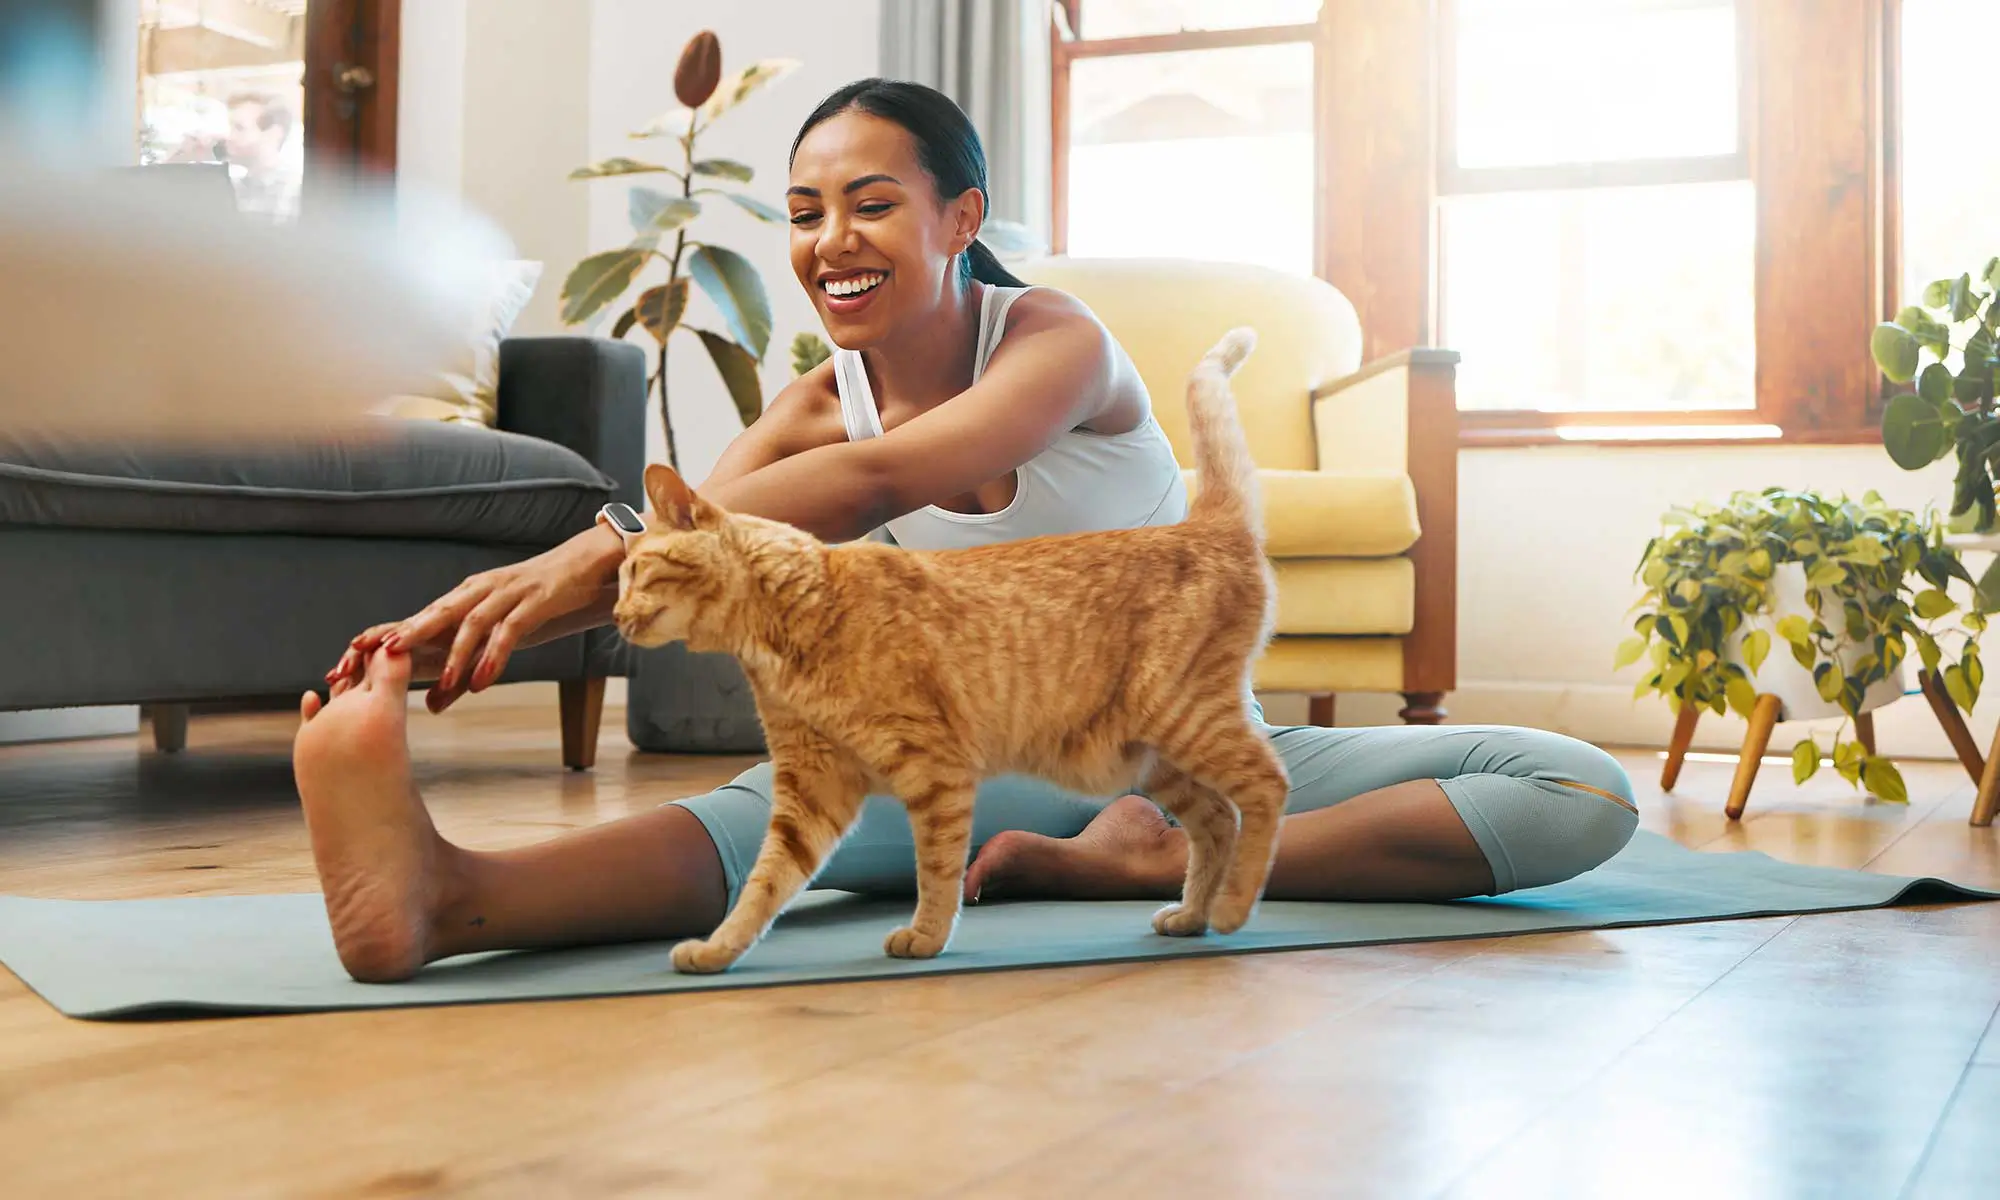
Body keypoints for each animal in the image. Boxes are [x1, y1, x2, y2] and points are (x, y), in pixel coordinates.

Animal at [616, 328, 1288, 976]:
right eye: (618, 579)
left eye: (635, 572)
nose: (617, 617)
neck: (788, 622)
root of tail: (1207, 524)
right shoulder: (812, 788)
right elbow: (766, 883)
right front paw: (720, 949)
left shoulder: (933, 769)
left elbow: (935, 870)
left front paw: (926, 937)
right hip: (1155, 755)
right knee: (1217, 818)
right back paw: (1193, 916)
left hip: (1184, 715)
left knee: (1266, 786)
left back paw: (1232, 909)